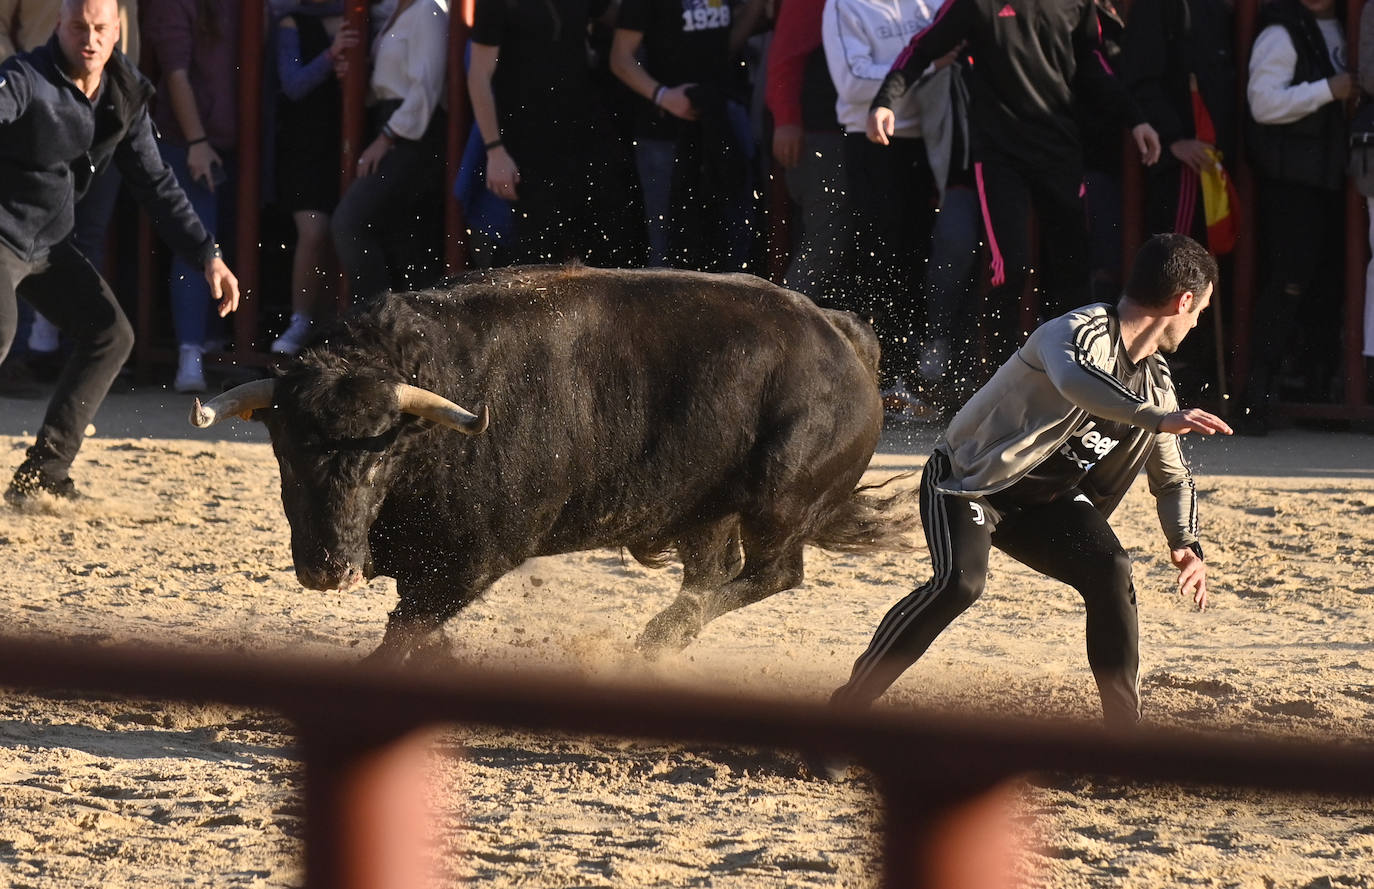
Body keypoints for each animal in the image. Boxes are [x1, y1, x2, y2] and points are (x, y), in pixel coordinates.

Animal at [188, 267, 917, 665]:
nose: (328, 568)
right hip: (705, 510)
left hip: (777, 502)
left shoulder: (473, 559)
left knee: (776, 573)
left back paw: (654, 638)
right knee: (715, 574)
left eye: (379, 457)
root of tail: (838, 334)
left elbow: (404, 629)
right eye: (285, 455)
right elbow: (413, 628)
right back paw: (661, 641)